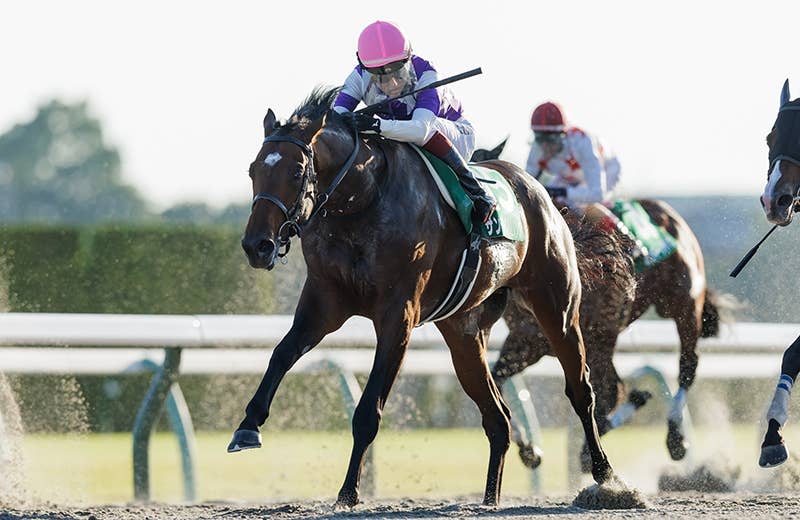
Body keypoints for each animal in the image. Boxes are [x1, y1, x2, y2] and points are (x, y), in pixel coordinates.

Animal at [228, 87, 616, 507]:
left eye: (297, 172)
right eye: (253, 170)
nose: (257, 245)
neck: (362, 200)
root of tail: (543, 194)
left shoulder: (398, 315)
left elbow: (368, 412)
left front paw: (348, 492)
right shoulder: (324, 302)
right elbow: (282, 353)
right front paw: (248, 426)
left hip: (556, 308)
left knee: (581, 390)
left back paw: (605, 475)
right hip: (463, 332)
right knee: (498, 417)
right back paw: (489, 499)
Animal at [472, 142, 727, 470]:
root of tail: (670, 215)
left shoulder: (590, 335)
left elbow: (605, 392)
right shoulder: (528, 340)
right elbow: (500, 378)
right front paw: (529, 450)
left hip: (681, 306)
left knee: (685, 367)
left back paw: (675, 439)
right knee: (618, 389)